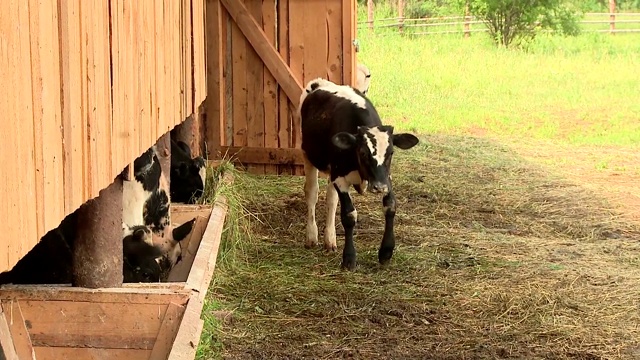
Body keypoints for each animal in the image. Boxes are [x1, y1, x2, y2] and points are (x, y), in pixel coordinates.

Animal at [298, 78, 420, 270]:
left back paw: (330, 239)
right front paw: (349, 258)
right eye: (362, 153)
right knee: (312, 193)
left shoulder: (386, 177)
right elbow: (349, 215)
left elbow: (390, 206)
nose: (379, 187)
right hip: (308, 155)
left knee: (331, 200)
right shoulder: (340, 178)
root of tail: (320, 82)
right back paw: (311, 236)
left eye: (391, 152)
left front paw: (386, 251)